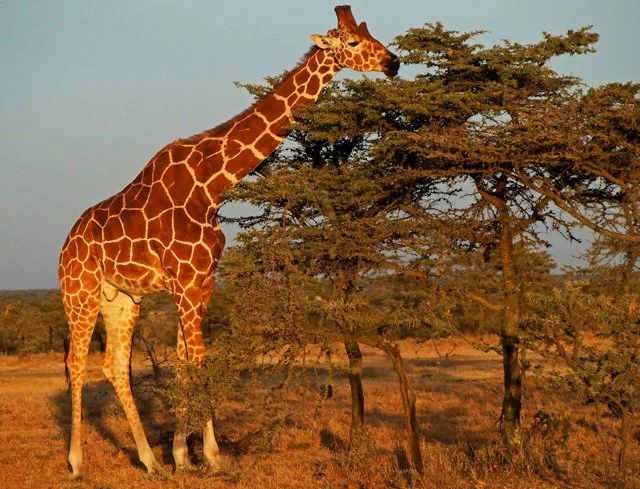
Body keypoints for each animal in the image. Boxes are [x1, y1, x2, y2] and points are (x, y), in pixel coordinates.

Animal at [59, 5, 399, 478]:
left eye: (373, 35)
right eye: (352, 43)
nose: (393, 62)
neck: (213, 185)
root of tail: (65, 243)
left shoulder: (202, 283)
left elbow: (187, 364)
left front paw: (182, 456)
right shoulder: (185, 283)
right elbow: (198, 362)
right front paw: (212, 456)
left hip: (122, 298)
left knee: (114, 366)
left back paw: (150, 461)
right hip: (80, 291)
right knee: (75, 362)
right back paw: (76, 463)